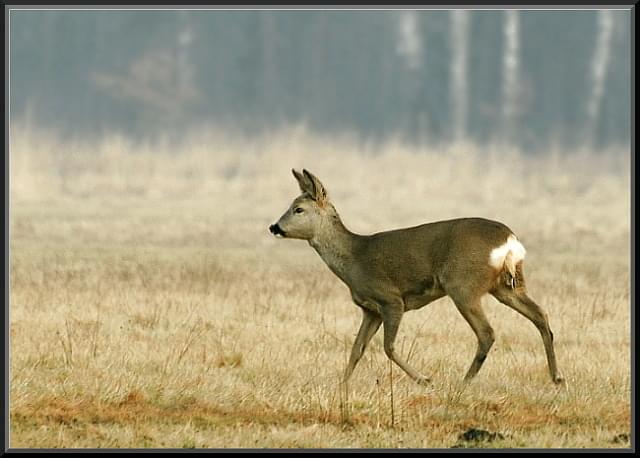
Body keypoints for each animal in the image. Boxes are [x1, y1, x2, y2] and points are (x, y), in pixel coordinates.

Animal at [270, 170, 564, 384]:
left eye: (298, 209)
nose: (274, 227)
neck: (354, 258)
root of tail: (510, 241)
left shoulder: (391, 299)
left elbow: (387, 347)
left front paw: (424, 379)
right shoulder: (370, 310)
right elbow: (357, 349)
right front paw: (342, 386)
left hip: (463, 285)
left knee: (487, 332)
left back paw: (464, 381)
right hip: (507, 286)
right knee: (540, 315)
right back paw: (557, 377)